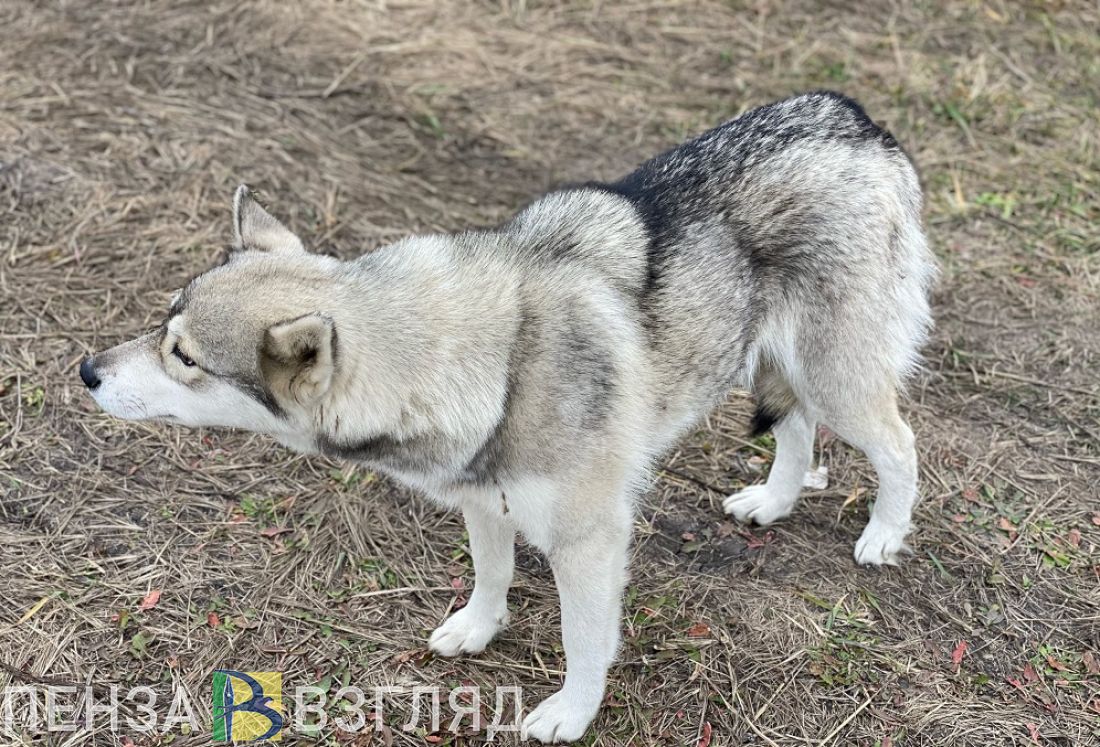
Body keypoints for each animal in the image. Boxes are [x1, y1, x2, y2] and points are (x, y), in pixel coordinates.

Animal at [81, 91, 932, 743]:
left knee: (900, 445)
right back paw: (773, 502)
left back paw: (884, 535)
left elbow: (584, 642)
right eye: (163, 324)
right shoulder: (483, 500)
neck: (494, 362)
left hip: (836, 379)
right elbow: (491, 574)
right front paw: (477, 628)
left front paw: (570, 714)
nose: (87, 370)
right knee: (798, 433)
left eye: (184, 357)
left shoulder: (590, 543)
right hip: (767, 366)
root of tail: (850, 115)